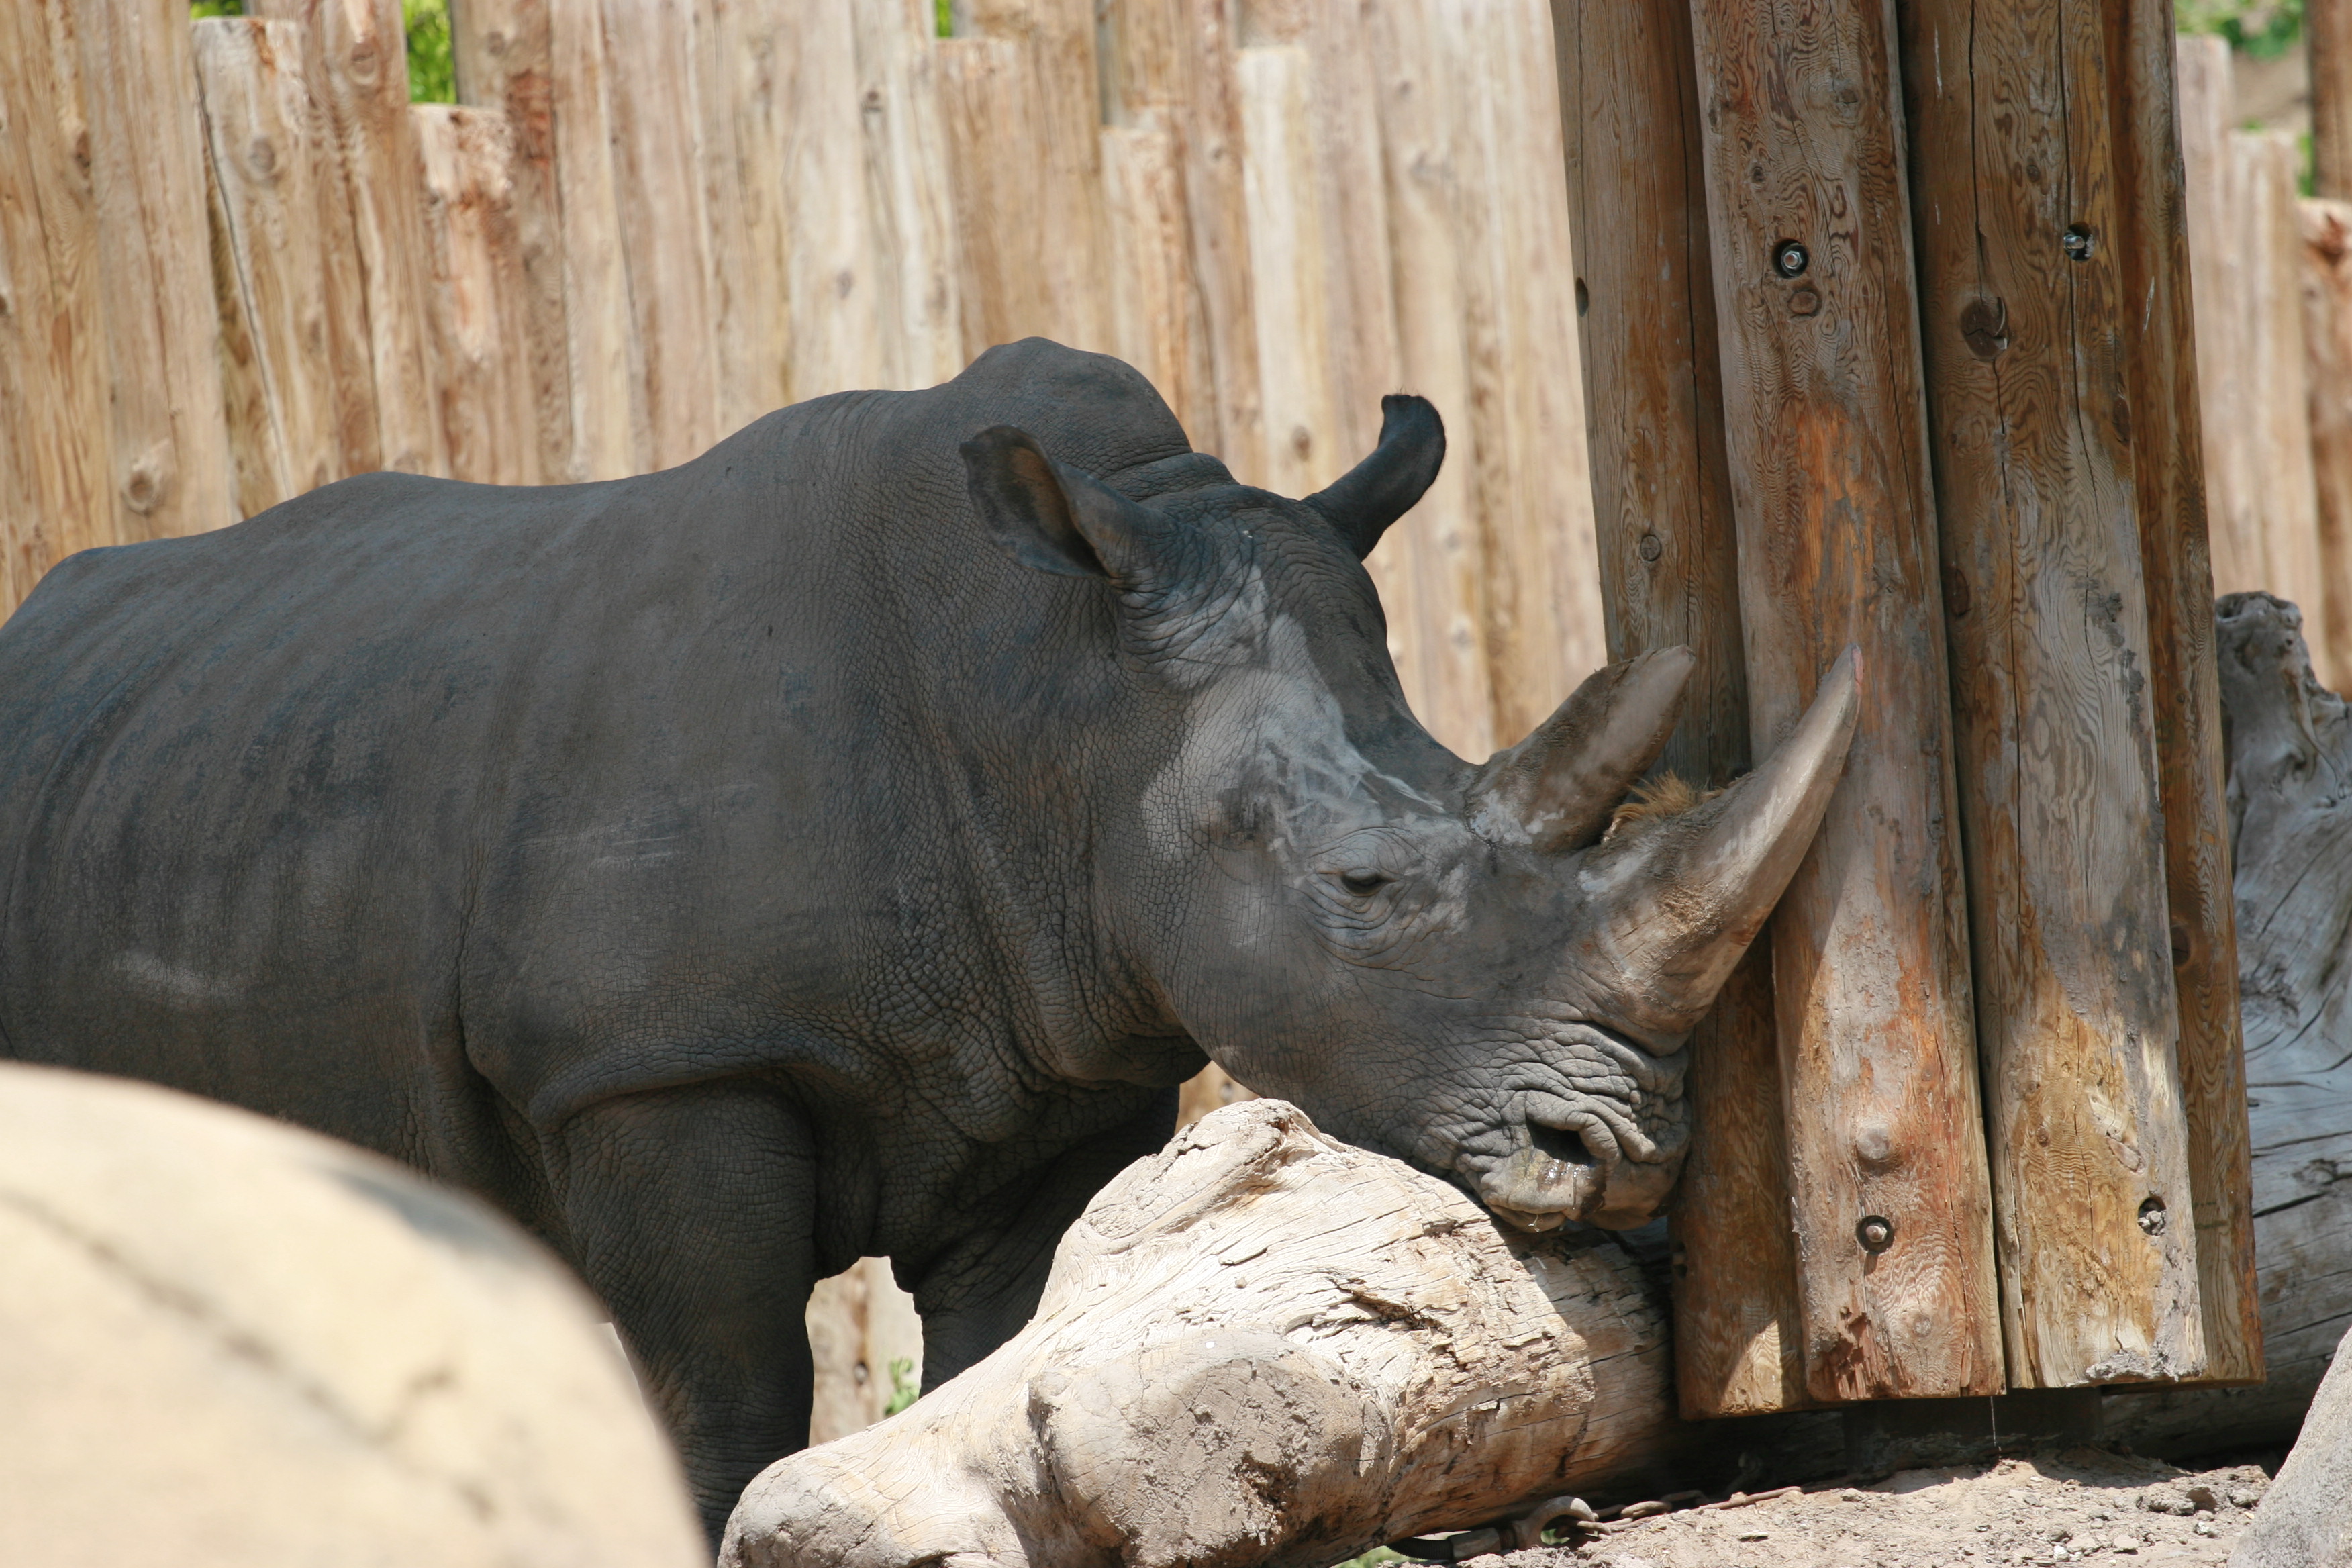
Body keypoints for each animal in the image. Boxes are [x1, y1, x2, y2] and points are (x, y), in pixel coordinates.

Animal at [0, 340, 1856, 1534]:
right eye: (1359, 888)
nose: (1617, 1150)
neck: (1053, 701)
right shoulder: (653, 1067)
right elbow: (730, 1395)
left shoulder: (1055, 1046)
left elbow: (998, 1352)